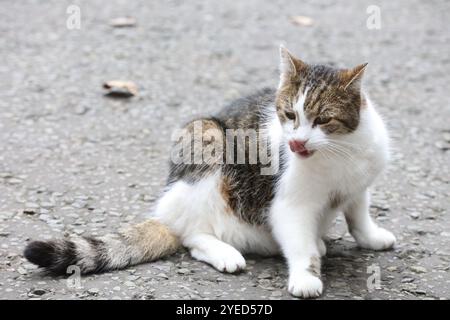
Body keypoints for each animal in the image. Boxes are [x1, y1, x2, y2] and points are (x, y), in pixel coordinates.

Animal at [24, 46, 396, 298]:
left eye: (323, 119)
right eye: (290, 115)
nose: (296, 141)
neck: (339, 152)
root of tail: (168, 204)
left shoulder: (358, 186)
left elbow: (358, 215)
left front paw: (371, 237)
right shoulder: (290, 206)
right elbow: (300, 247)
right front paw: (306, 277)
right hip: (206, 139)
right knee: (192, 233)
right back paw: (225, 253)